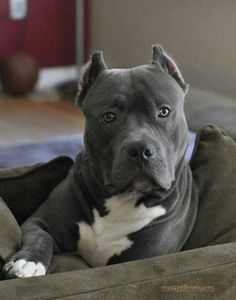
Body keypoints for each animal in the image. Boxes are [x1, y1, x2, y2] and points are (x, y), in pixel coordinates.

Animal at [2, 43, 198, 278]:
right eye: (108, 116)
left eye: (164, 111)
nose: (140, 149)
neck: (122, 199)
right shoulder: (39, 220)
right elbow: (41, 236)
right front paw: (27, 262)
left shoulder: (144, 258)